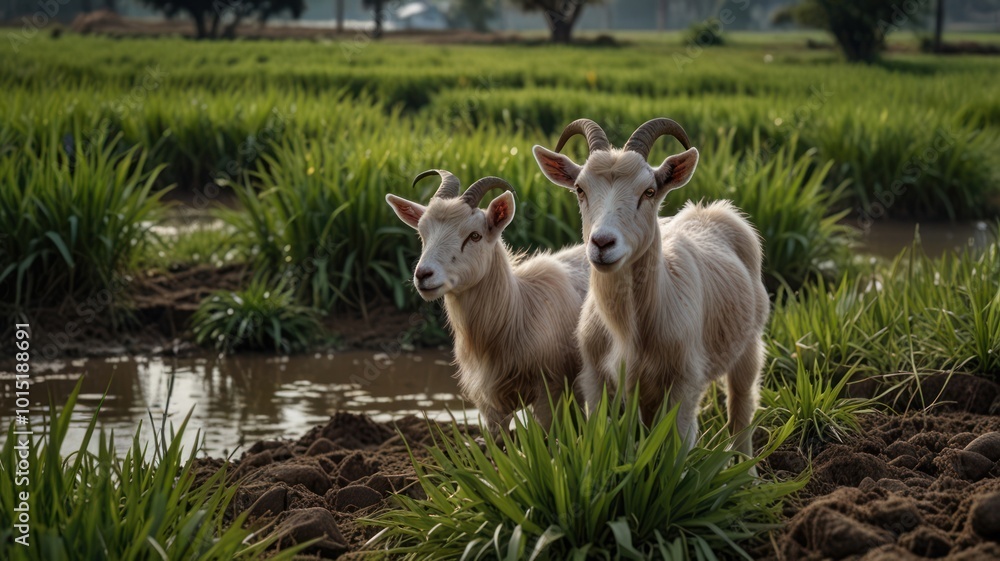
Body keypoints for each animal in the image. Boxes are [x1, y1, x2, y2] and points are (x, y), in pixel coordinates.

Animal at [386, 170, 589, 436]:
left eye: (475, 236)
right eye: (422, 234)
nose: (423, 275)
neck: (517, 310)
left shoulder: (550, 391)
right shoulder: (491, 404)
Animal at [532, 118, 768, 458]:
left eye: (649, 191)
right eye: (580, 189)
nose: (602, 243)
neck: (628, 330)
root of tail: (708, 210)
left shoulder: (684, 382)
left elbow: (676, 446)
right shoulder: (595, 377)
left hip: (750, 343)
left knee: (741, 409)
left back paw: (746, 467)